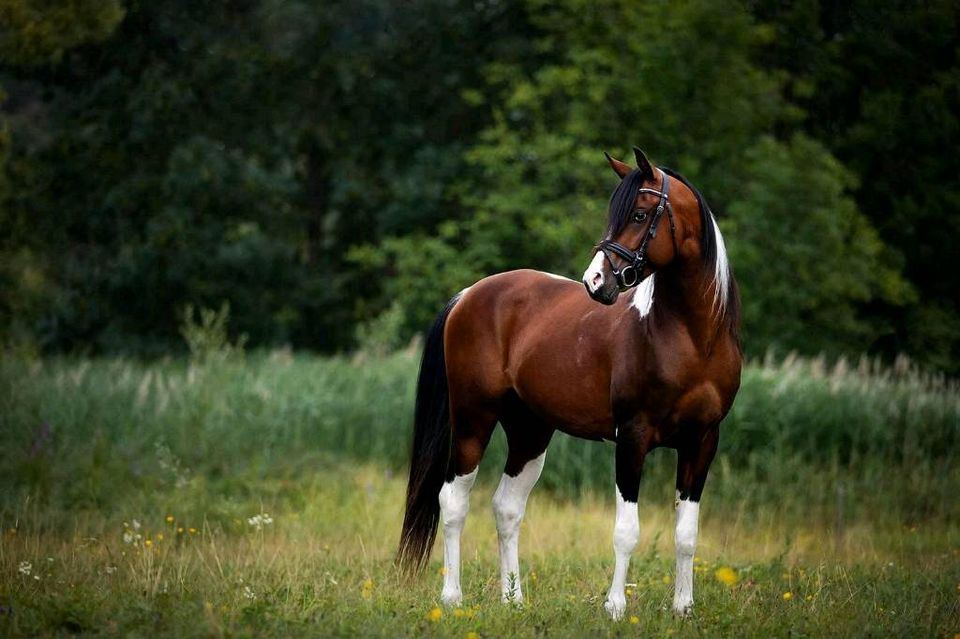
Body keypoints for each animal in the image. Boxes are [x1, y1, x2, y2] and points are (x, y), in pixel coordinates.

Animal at [396, 148, 744, 616]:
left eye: (639, 214)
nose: (595, 282)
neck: (690, 338)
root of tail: (468, 295)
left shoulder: (702, 441)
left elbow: (686, 534)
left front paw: (683, 609)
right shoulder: (632, 438)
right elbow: (626, 531)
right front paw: (615, 608)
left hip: (530, 431)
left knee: (506, 508)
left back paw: (513, 600)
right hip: (473, 420)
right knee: (453, 501)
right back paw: (453, 598)